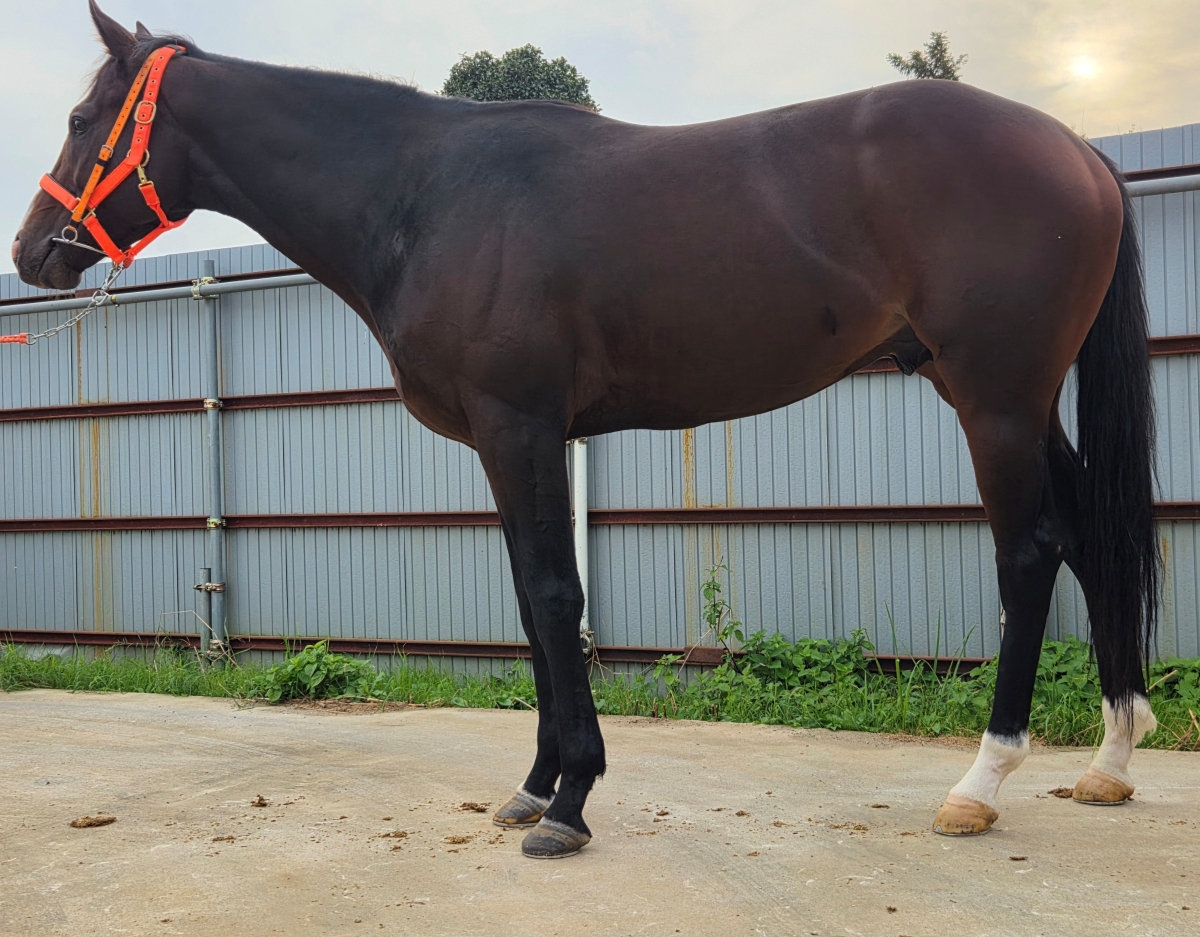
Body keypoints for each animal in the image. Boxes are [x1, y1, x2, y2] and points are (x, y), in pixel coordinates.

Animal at [12, 3, 1161, 858]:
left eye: (81, 115)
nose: (31, 251)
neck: (425, 193)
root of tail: (1079, 150)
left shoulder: (520, 425)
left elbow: (558, 596)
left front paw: (570, 803)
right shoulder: (502, 440)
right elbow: (530, 602)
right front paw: (533, 785)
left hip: (995, 397)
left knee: (1032, 552)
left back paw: (983, 779)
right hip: (1015, 401)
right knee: (1090, 531)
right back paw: (1111, 758)